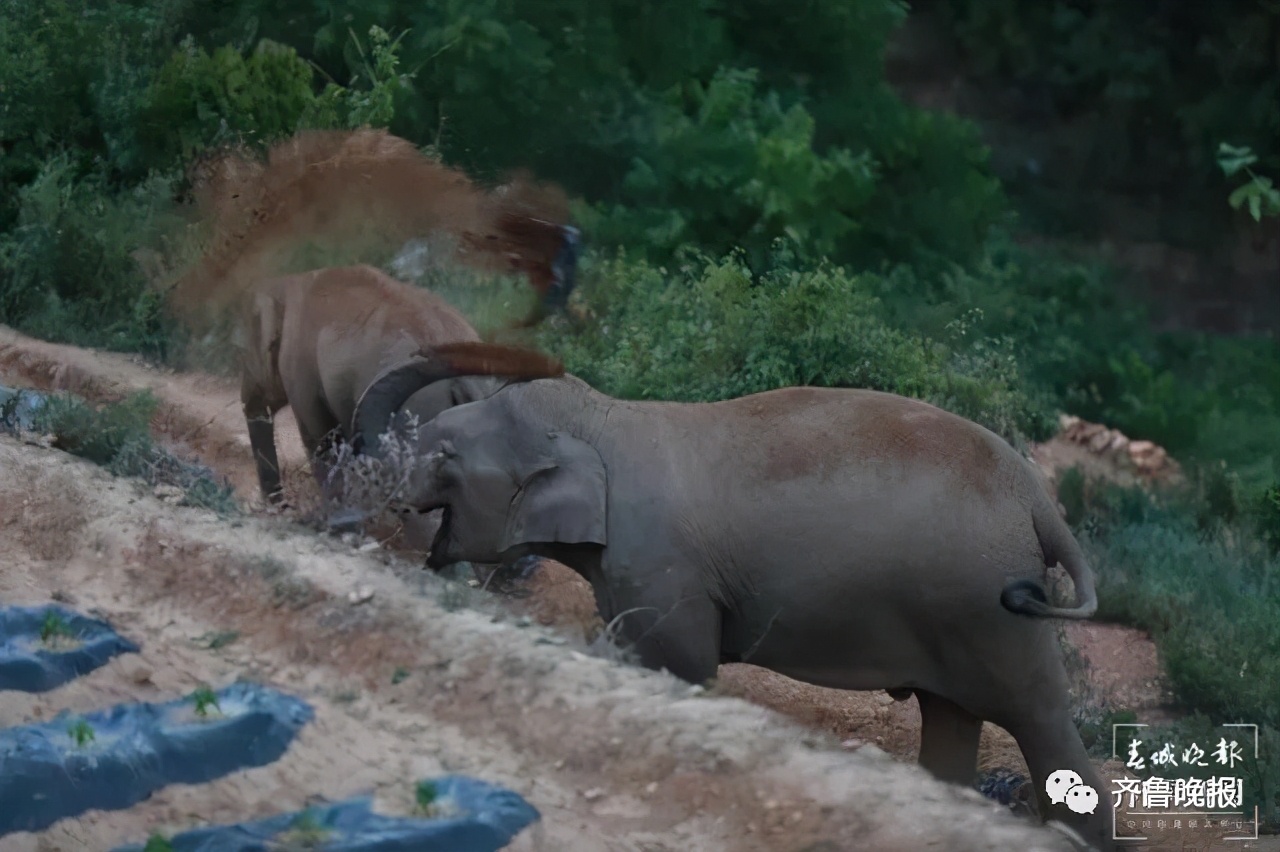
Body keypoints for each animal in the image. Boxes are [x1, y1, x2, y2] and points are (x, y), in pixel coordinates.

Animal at [355, 342, 1116, 844]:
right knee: (953, 720)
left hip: (991, 613)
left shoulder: (663, 566)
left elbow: (682, 666)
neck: (607, 419)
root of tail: (1039, 500)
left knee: (1039, 720)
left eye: (445, 456)